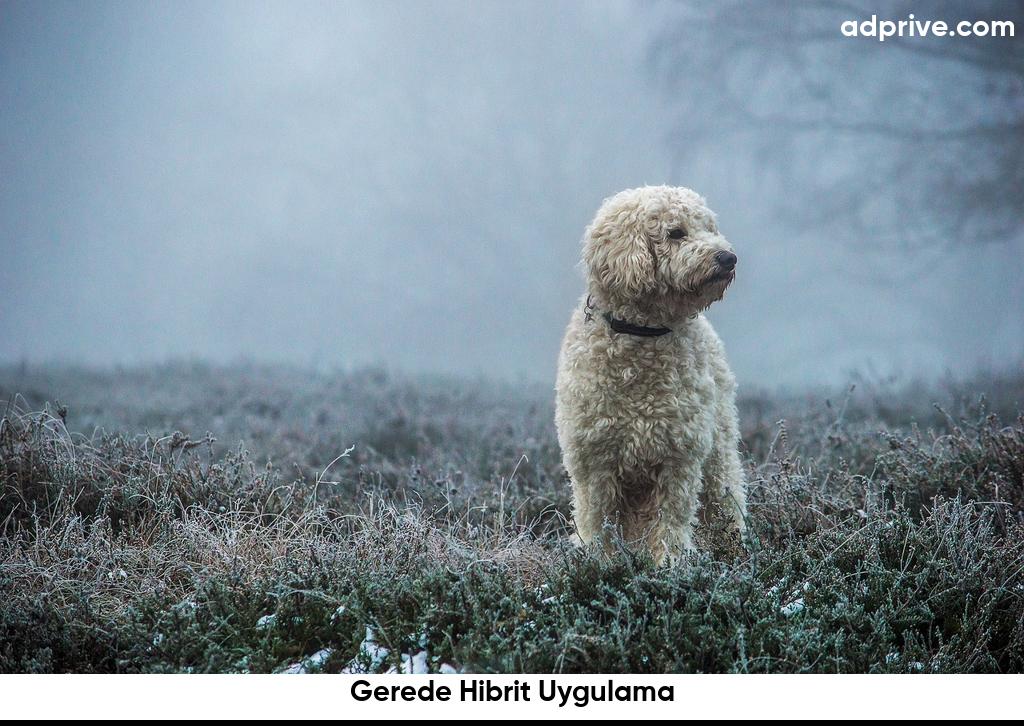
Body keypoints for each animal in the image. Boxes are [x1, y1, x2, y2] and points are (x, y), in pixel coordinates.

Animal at [557, 185, 749, 561]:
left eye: (709, 228)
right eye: (675, 233)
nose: (728, 258)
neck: (643, 333)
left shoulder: (679, 457)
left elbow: (671, 522)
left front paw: (671, 564)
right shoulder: (593, 461)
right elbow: (595, 520)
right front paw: (596, 562)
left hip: (718, 453)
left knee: (726, 497)